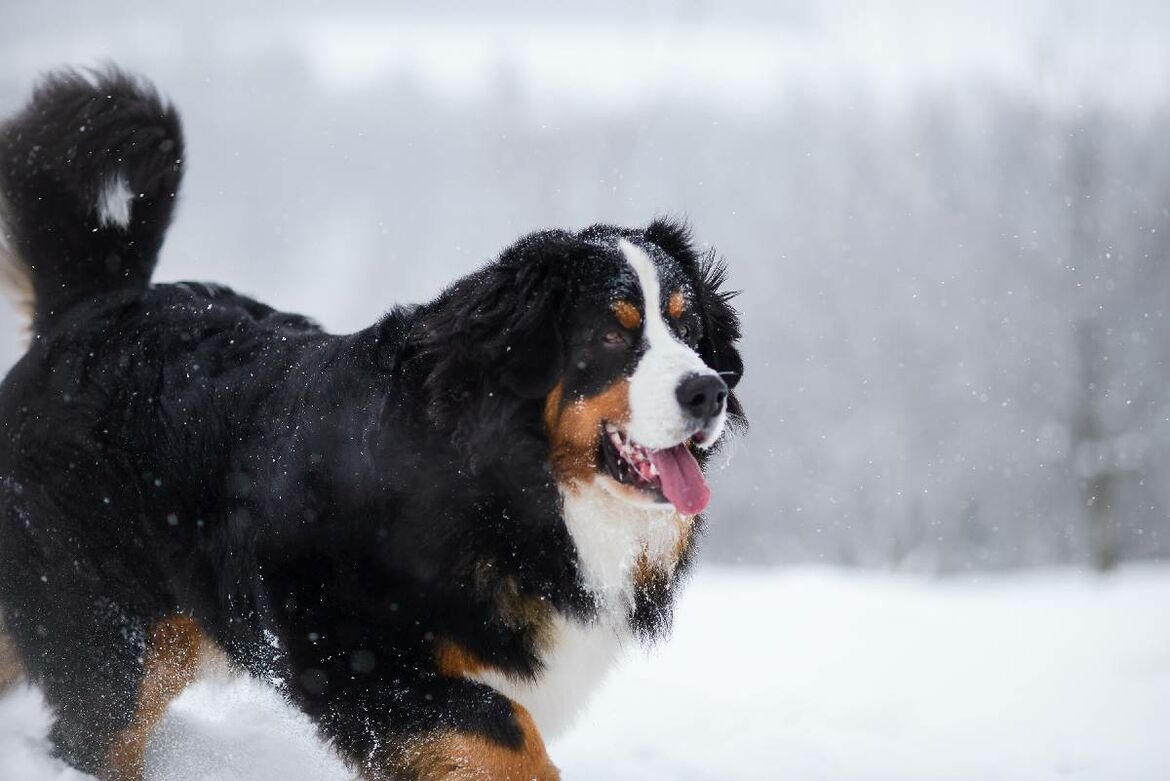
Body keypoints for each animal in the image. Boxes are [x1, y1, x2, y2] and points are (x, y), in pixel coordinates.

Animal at [0, 67, 744, 781]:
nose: (707, 391)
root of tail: (91, 307)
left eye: (689, 328)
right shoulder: (351, 643)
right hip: (113, 637)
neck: (516, 485)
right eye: (613, 335)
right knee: (97, 728)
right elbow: (502, 730)